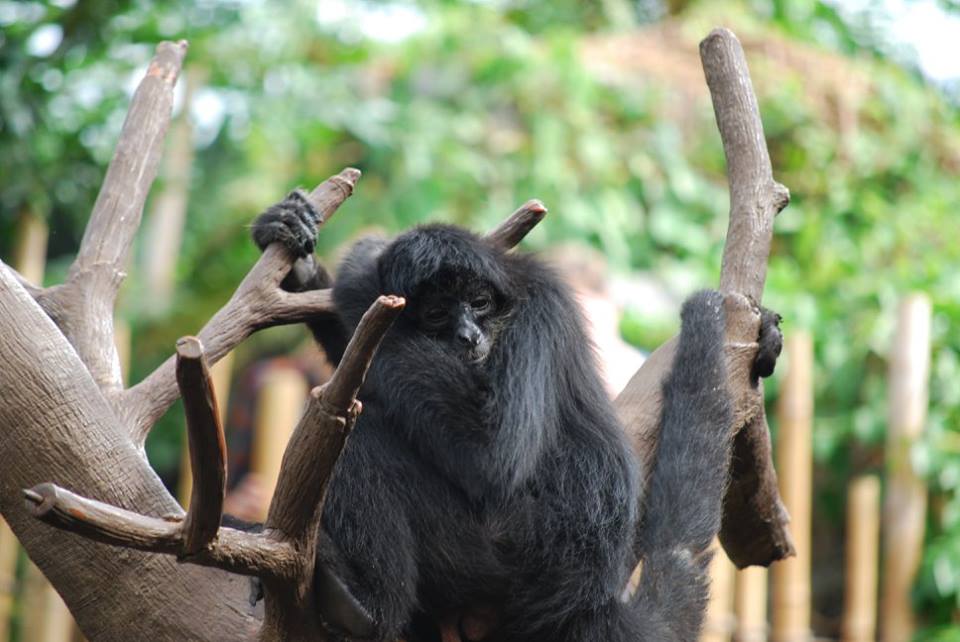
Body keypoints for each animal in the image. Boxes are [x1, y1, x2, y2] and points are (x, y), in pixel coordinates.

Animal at [251, 190, 782, 641]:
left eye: (479, 303)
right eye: (438, 314)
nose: (468, 336)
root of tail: (591, 595)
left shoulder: (533, 320)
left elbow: (494, 456)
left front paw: (358, 274)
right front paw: (295, 249)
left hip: (507, 549)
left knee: (366, 437)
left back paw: (364, 606)